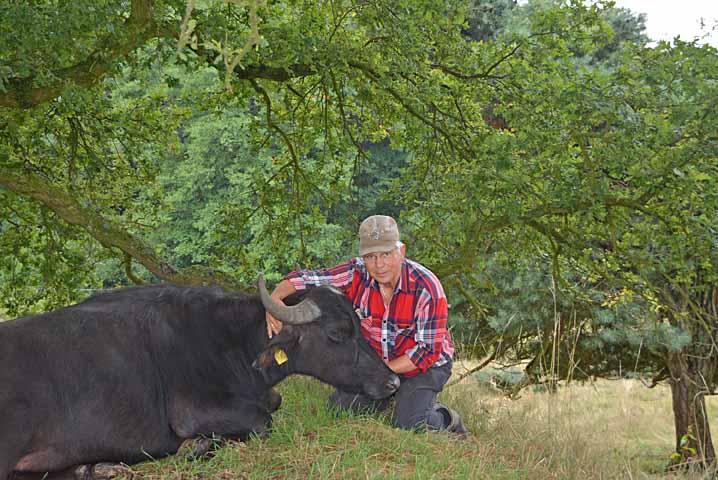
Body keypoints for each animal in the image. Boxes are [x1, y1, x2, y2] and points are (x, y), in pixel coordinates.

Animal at [0, 276, 400, 478]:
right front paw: (194, 447)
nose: (393, 382)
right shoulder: (194, 413)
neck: (230, 343)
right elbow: (263, 420)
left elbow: (273, 406)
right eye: (336, 333)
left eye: (360, 323)